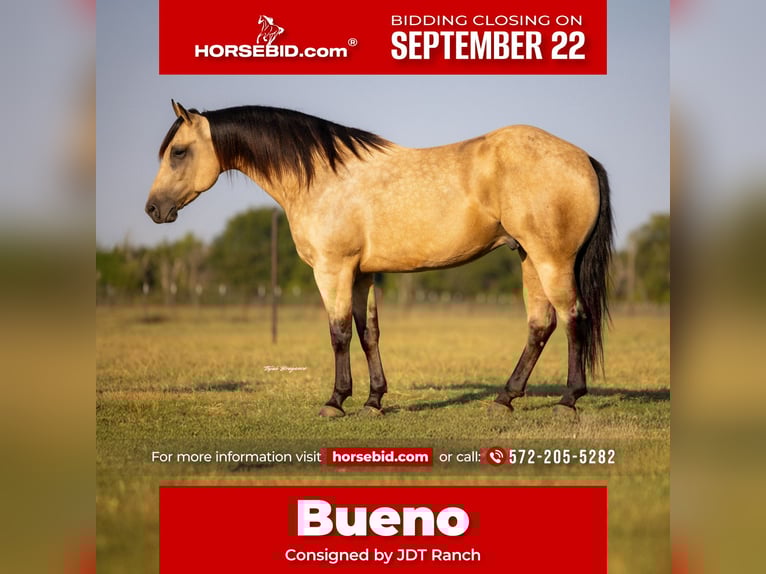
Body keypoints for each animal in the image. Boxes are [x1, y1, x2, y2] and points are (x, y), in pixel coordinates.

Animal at [146, 100, 613, 418]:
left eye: (178, 152)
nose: (152, 209)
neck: (321, 177)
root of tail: (583, 157)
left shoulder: (332, 270)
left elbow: (338, 334)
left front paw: (335, 401)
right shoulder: (362, 275)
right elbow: (368, 333)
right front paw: (373, 400)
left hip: (552, 261)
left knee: (573, 319)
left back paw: (568, 400)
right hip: (530, 259)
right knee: (540, 326)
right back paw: (505, 398)